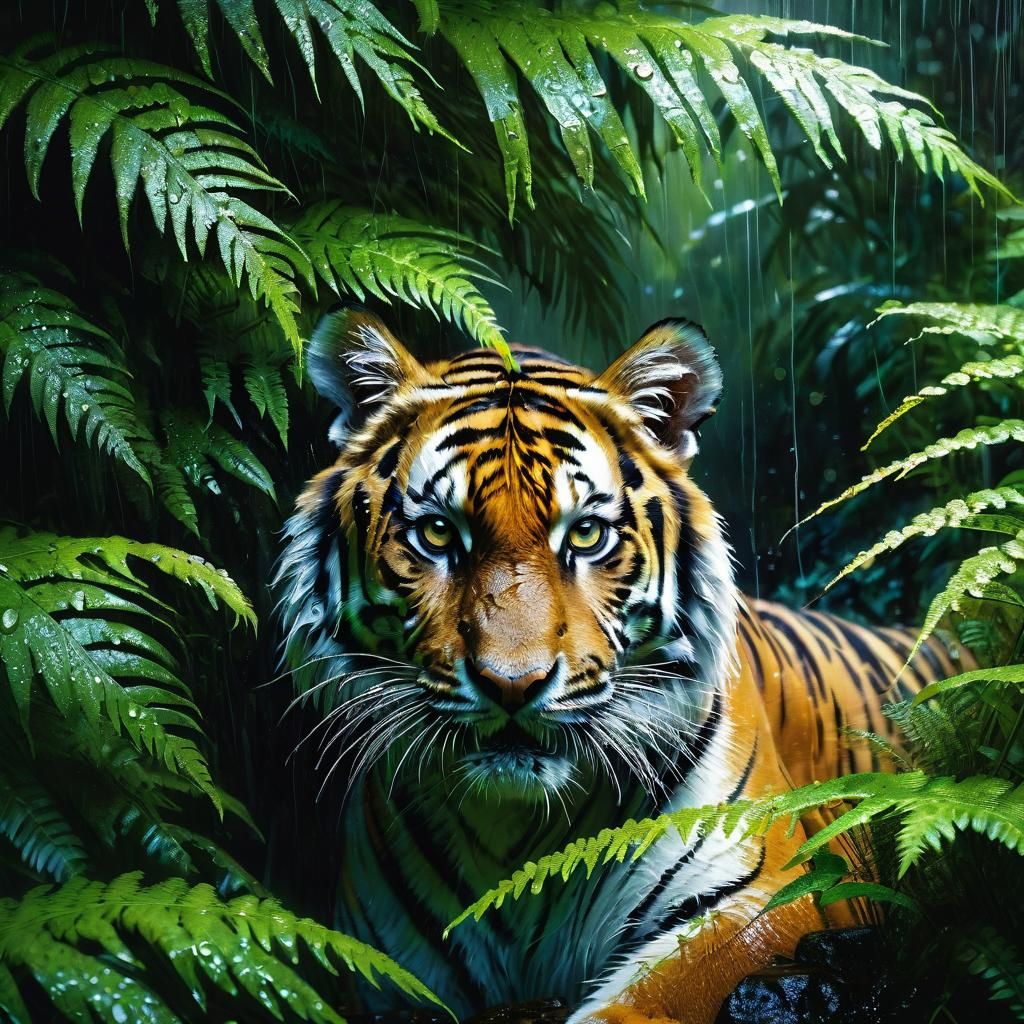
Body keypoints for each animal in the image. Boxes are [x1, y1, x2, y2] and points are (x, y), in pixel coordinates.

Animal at [275, 308, 961, 1024]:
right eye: (437, 533)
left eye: (585, 534)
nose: (511, 685)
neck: (514, 830)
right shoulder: (387, 970)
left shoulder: (767, 895)